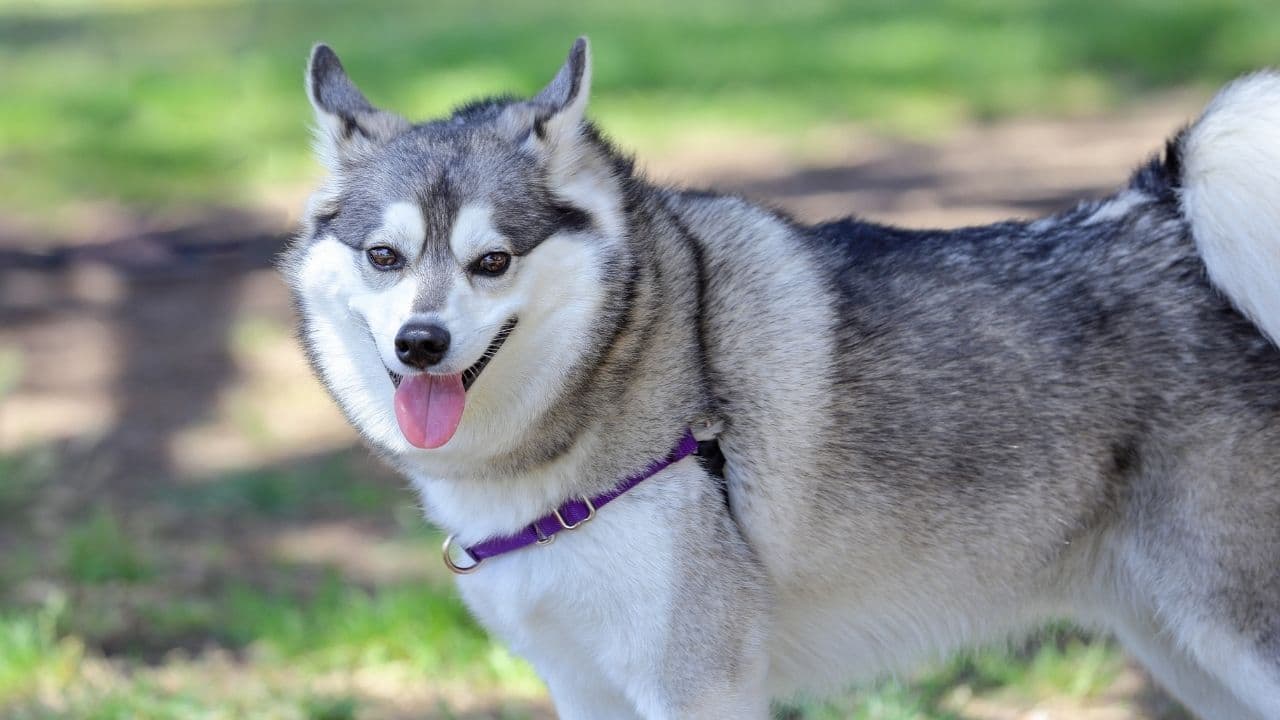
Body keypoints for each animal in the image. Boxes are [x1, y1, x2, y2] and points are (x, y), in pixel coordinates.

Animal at [285, 39, 1280, 717]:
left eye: (491, 262)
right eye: (384, 256)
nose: (420, 343)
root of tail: (1165, 212)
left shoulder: (698, 686)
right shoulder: (584, 686)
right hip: (1182, 646)